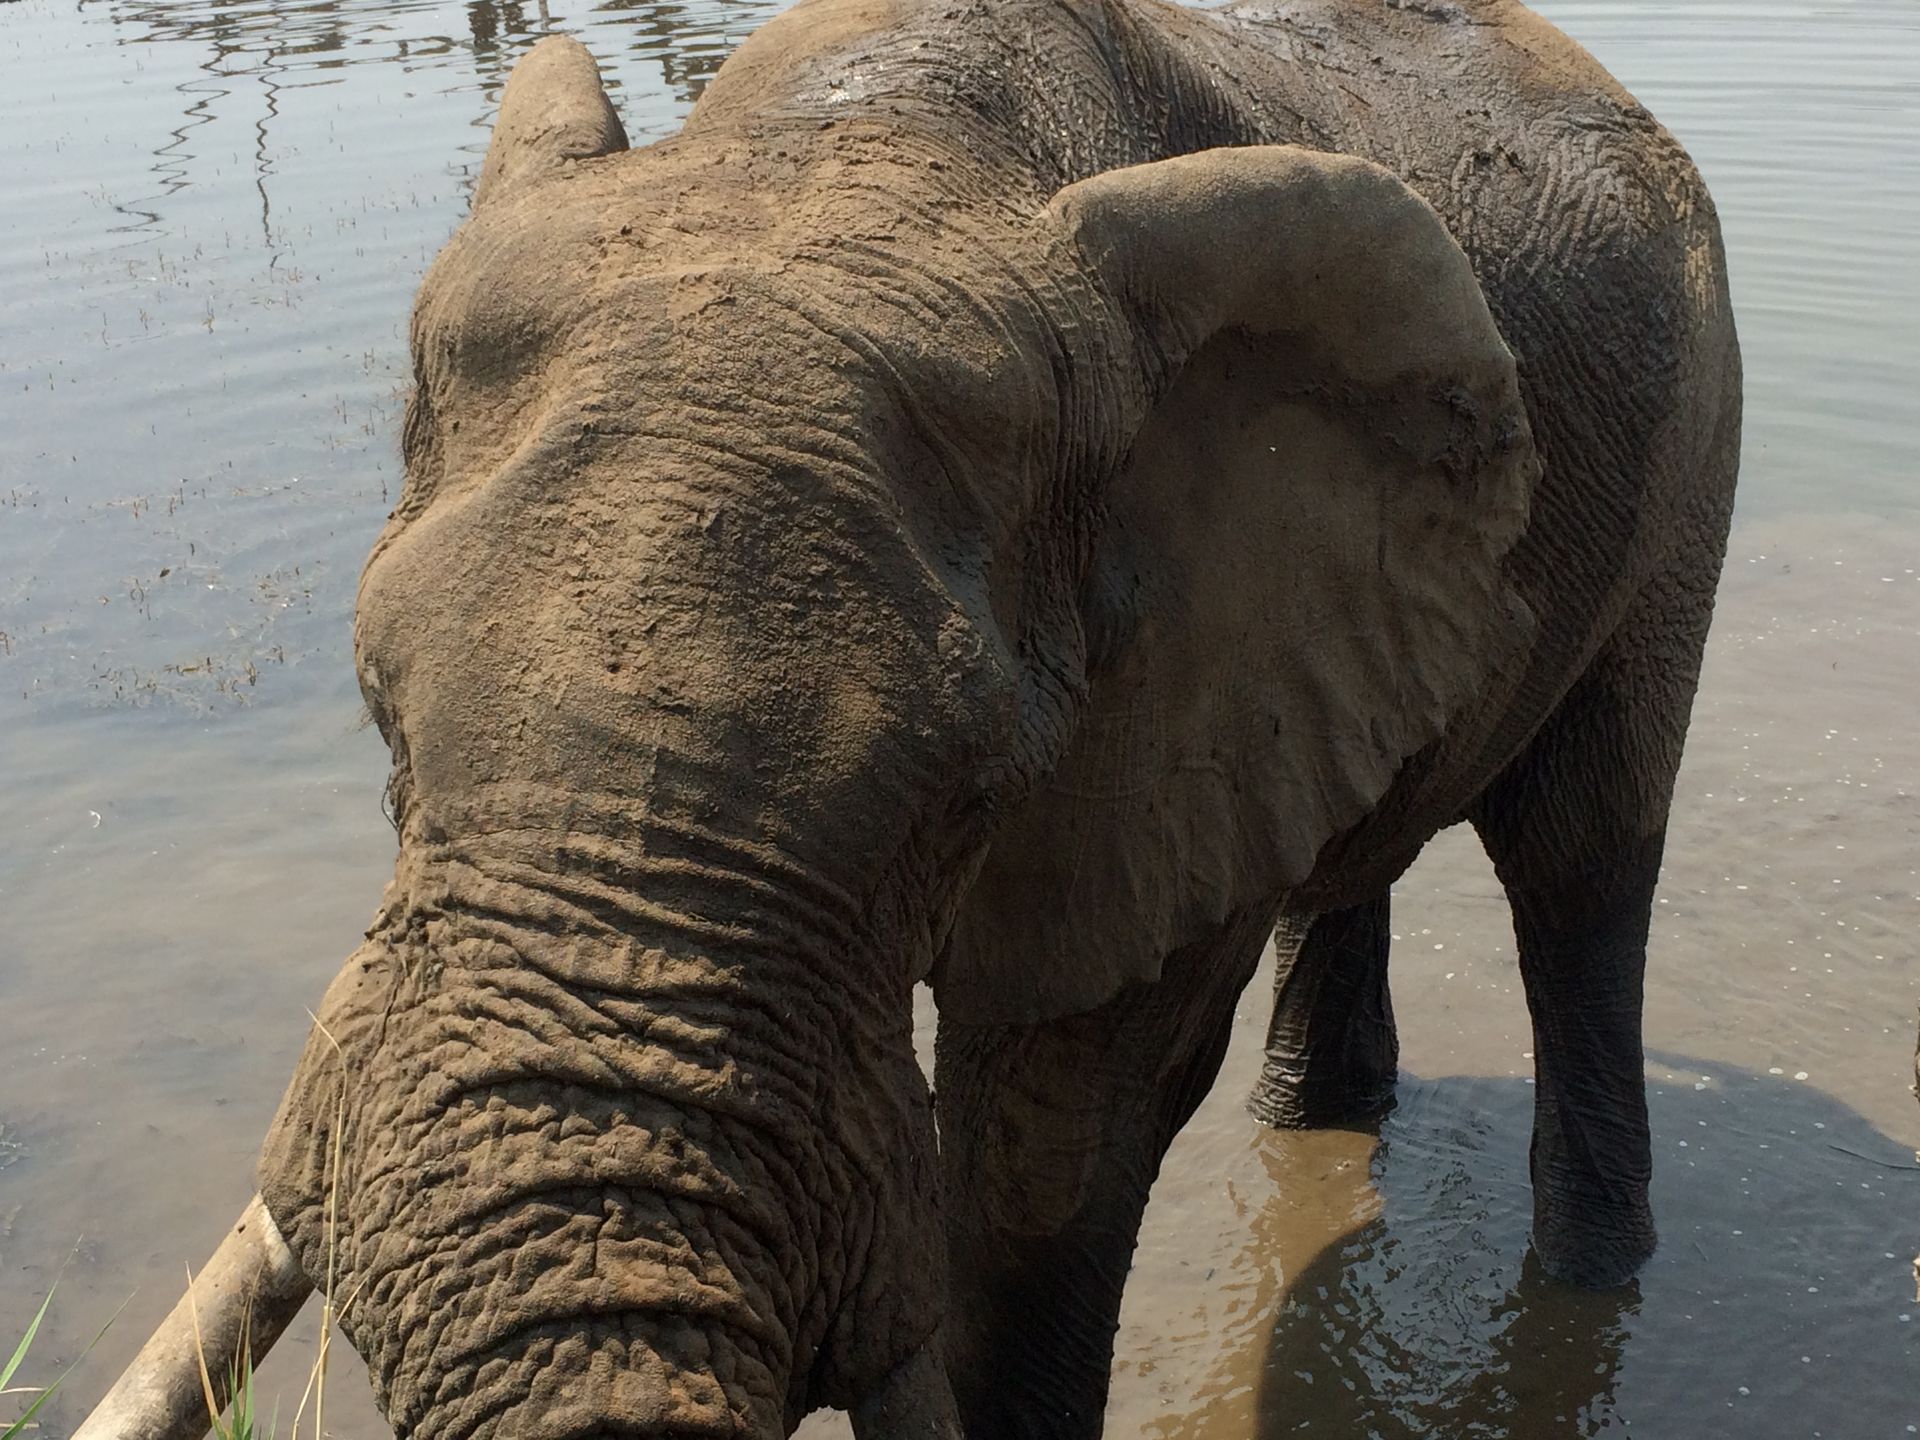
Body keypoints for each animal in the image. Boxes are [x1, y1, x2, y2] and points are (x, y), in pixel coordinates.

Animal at [77, 0, 1740, 1437]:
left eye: (965, 795)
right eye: (382, 716)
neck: (864, 143)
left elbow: (1048, 1150)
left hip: (1690, 457)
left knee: (1581, 867)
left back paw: (1594, 1279)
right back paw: (1313, 1119)